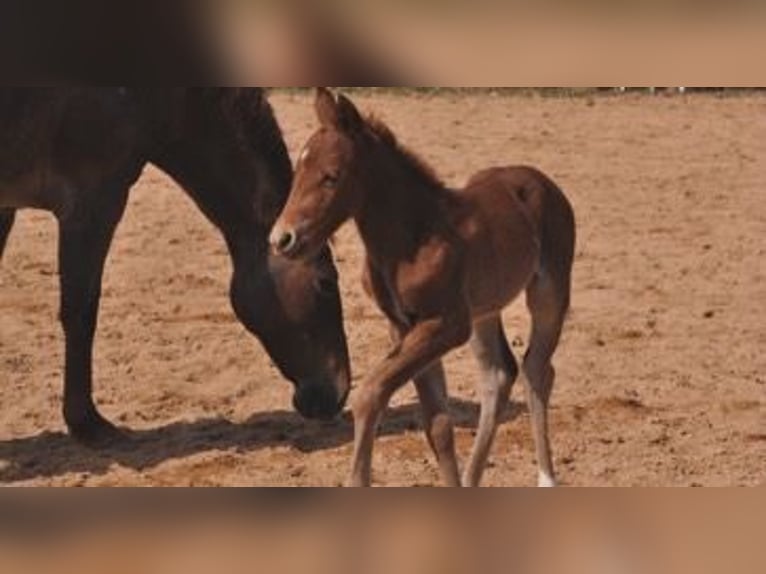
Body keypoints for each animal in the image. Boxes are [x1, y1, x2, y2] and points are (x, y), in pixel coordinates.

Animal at [271, 88, 576, 487]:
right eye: (298, 173)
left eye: (331, 177)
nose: (282, 239)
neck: (411, 238)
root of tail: (541, 181)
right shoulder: (404, 326)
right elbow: (437, 426)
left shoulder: (446, 325)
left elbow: (371, 392)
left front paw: (357, 480)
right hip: (484, 311)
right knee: (498, 376)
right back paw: (473, 480)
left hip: (548, 292)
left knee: (537, 370)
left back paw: (546, 478)